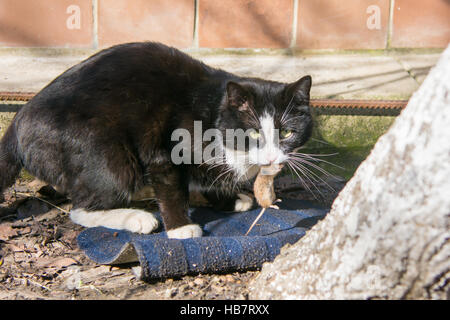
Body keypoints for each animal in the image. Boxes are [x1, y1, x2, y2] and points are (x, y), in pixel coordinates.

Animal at [0, 41, 312, 239]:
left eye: (286, 133)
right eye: (254, 132)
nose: (272, 157)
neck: (214, 112)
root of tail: (17, 123)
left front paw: (227, 198)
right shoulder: (165, 150)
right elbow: (172, 187)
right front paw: (180, 228)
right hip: (107, 152)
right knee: (80, 208)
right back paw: (136, 217)